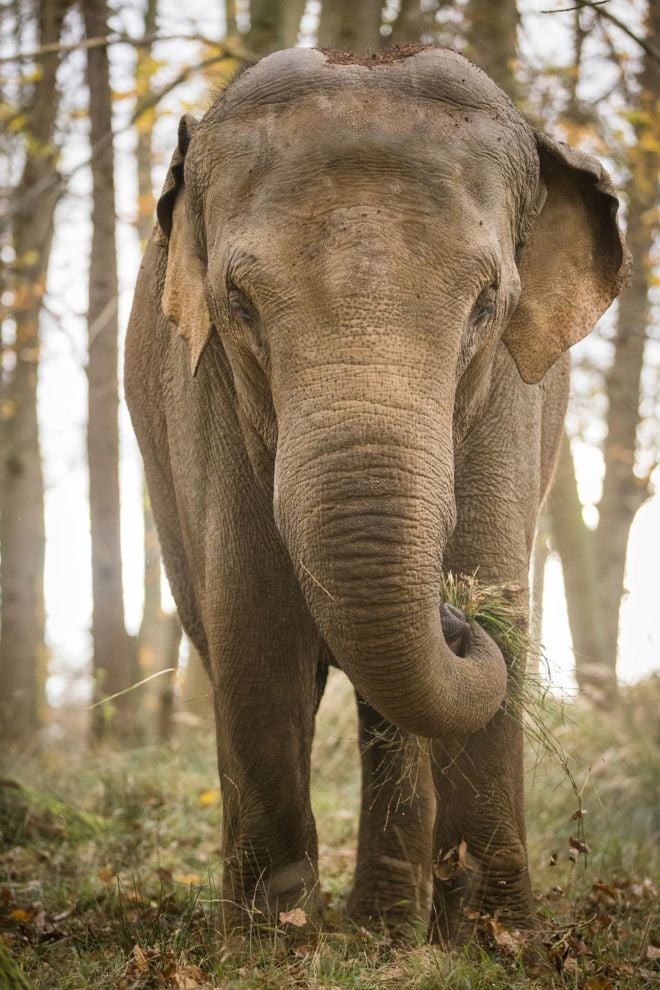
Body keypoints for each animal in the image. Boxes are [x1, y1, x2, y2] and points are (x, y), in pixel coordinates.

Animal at [125, 44, 628, 944]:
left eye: (487, 304)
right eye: (238, 304)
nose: (453, 616)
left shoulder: (512, 395)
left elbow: (497, 586)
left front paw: (497, 946)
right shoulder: (204, 391)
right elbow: (253, 624)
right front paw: (272, 945)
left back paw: (386, 929)